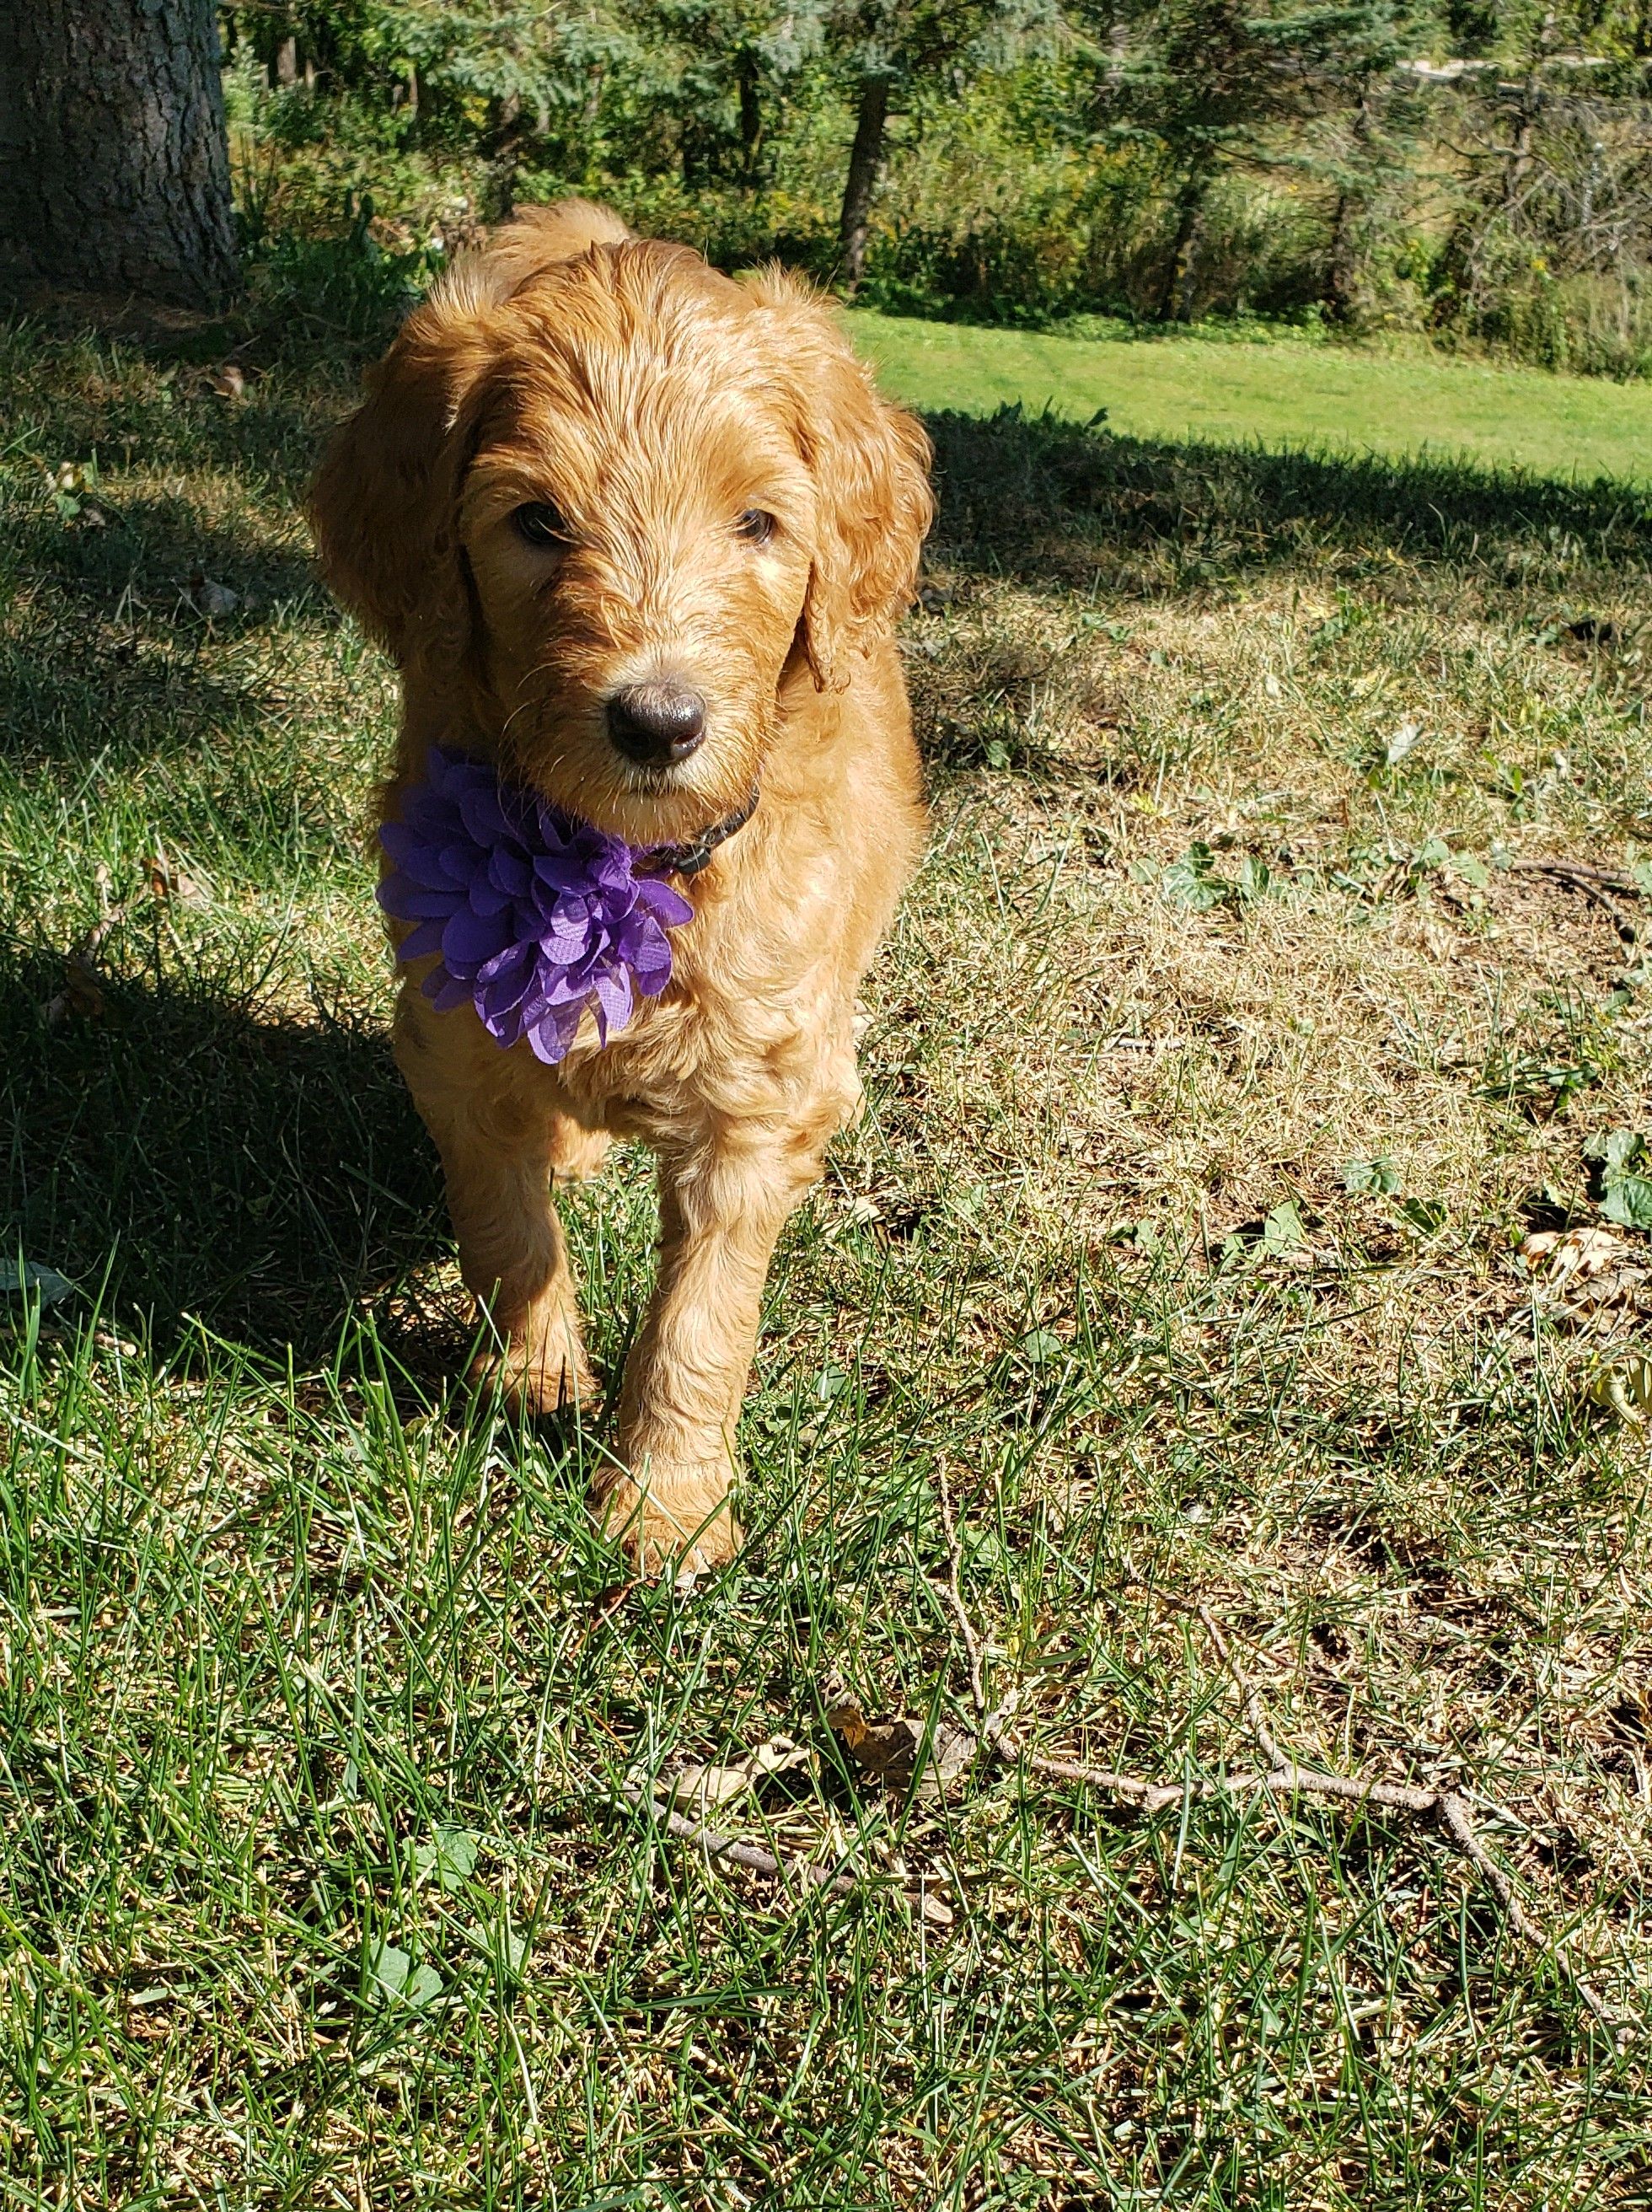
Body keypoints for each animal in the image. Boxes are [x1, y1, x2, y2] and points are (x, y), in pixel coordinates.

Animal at [309, 199, 933, 1572]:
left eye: (758, 524)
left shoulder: (756, 1097)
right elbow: (503, 1224)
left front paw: (665, 1503)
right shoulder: (451, 1030)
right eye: (539, 522)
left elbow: (702, 1321)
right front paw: (532, 1379)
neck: (616, 864)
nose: (658, 721)